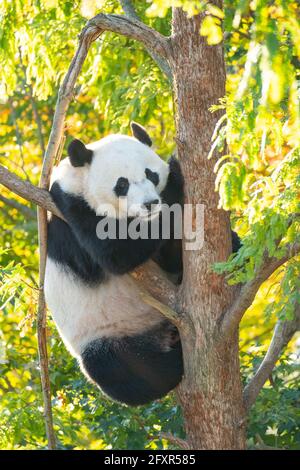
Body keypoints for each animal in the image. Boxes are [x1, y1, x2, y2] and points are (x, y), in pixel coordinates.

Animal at [44, 123, 185, 406]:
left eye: (151, 174)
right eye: (122, 184)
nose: (150, 204)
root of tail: (159, 335)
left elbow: (172, 256)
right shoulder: (71, 209)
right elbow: (116, 253)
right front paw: (175, 173)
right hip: (105, 335)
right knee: (119, 371)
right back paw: (174, 363)